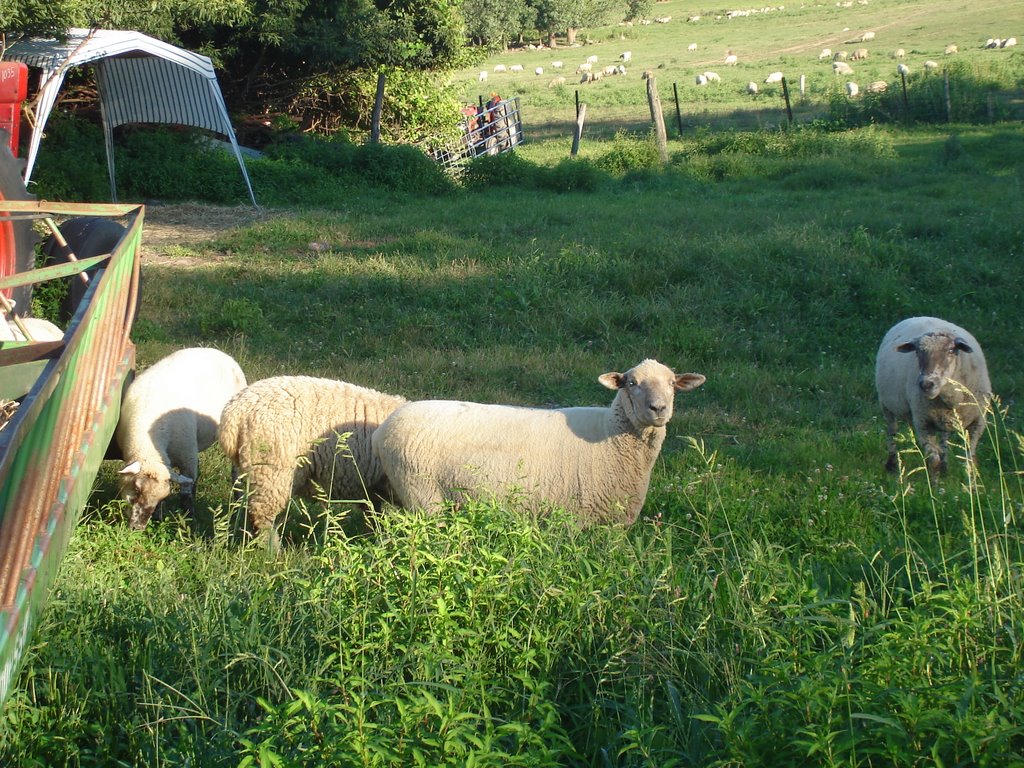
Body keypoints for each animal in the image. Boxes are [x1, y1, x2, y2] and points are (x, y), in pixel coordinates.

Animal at [116, 347, 247, 530]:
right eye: (136, 489)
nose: (137, 528)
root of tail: (219, 352)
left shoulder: (186, 457)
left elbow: (186, 493)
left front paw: (189, 520)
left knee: (235, 471)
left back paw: (238, 500)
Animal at [218, 375, 407, 548]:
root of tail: (234, 413)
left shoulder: (370, 487)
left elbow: (373, 515)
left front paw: (374, 539)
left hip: (247, 471)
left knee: (245, 508)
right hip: (271, 473)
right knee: (262, 516)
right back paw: (273, 551)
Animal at [371, 359, 706, 525]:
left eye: (672, 384)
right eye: (631, 383)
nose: (658, 408)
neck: (610, 434)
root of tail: (383, 428)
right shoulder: (577, 517)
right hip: (423, 495)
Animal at [875, 317, 991, 476]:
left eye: (950, 350)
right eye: (917, 351)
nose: (926, 384)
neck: (951, 398)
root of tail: (918, 316)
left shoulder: (978, 422)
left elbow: (970, 459)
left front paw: (972, 481)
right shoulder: (923, 421)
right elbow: (933, 461)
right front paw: (934, 480)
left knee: (944, 438)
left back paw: (944, 467)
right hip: (886, 405)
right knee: (892, 432)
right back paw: (892, 464)